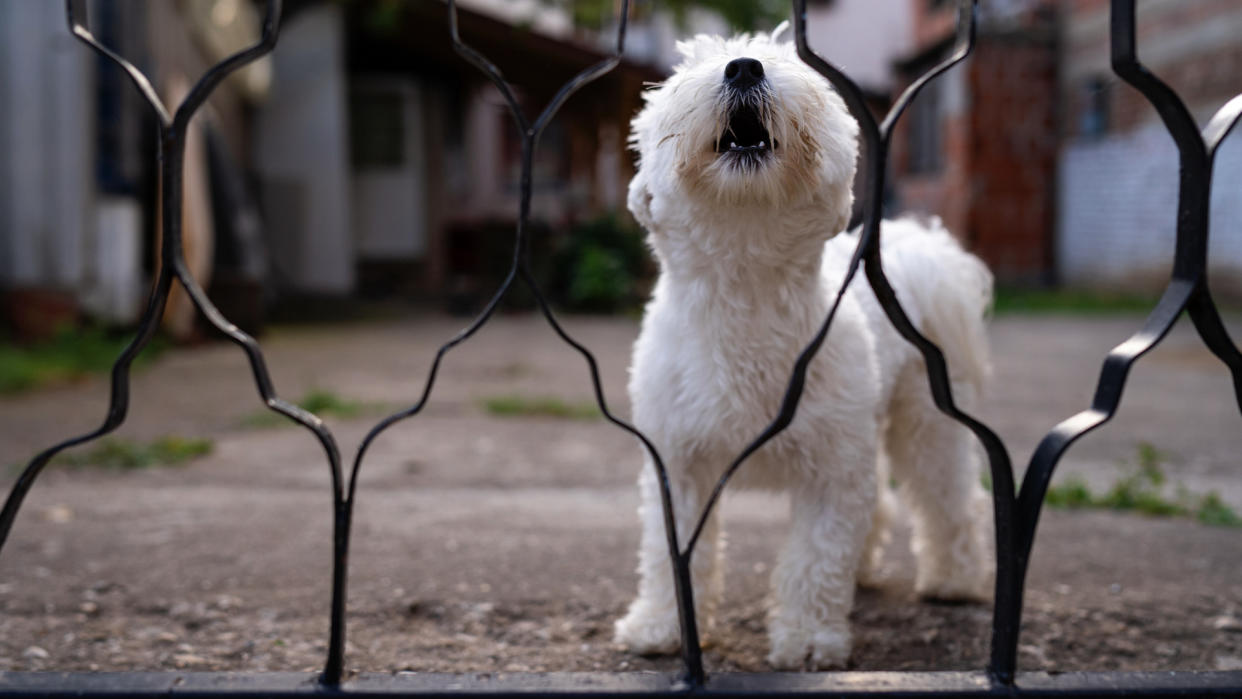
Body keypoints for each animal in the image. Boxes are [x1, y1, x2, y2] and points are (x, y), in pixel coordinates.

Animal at [616, 27, 993, 670]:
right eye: (690, 68)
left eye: (794, 66)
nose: (744, 68)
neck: (748, 291)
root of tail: (918, 248)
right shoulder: (677, 461)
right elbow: (672, 558)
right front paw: (661, 625)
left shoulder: (833, 470)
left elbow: (817, 555)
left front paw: (811, 638)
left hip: (926, 419)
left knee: (947, 496)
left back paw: (955, 580)